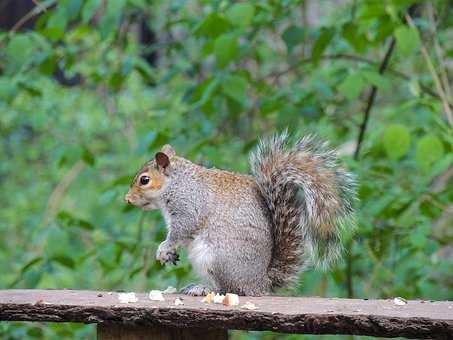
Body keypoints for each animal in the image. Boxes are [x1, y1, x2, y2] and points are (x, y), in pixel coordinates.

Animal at [124, 131, 356, 296]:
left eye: (144, 180)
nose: (127, 198)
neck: (176, 183)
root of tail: (260, 283)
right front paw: (169, 254)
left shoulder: (189, 206)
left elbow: (181, 230)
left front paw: (163, 249)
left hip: (217, 260)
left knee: (229, 289)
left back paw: (203, 289)